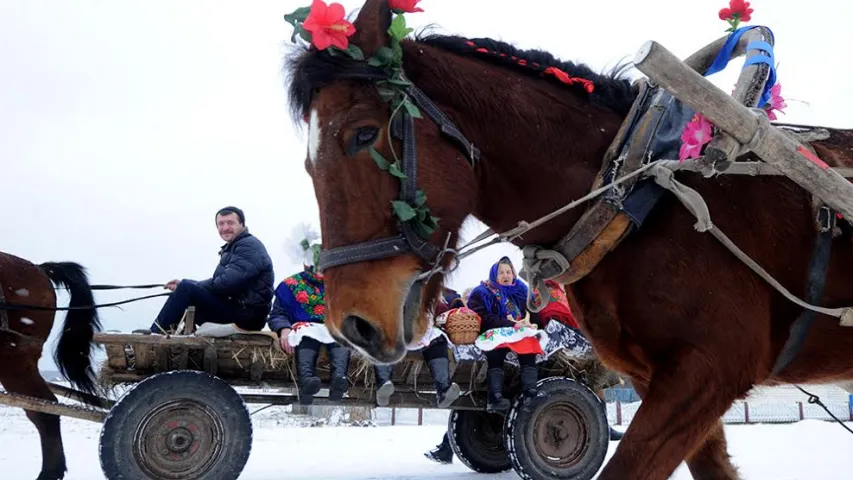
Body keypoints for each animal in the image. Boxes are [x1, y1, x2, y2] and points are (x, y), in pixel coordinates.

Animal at [284, 1, 852, 478]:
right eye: (307, 165)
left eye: (362, 134)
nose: (351, 324)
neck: (636, 200)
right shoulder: (661, 380)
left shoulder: (707, 371)